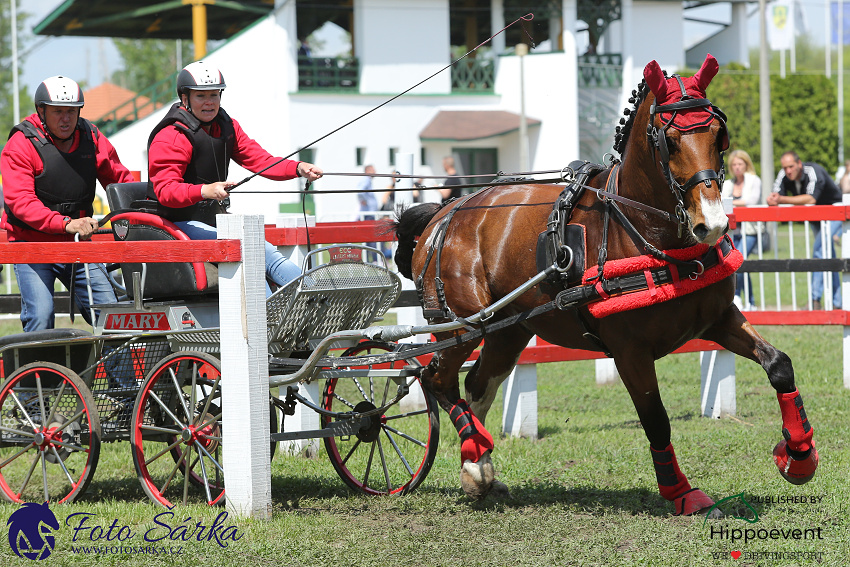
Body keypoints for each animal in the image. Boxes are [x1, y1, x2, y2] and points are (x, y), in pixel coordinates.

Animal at [390, 54, 816, 516]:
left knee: (477, 386)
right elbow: (656, 420)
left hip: (508, 331)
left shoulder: (718, 319)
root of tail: (445, 212)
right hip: (462, 327)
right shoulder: (630, 352)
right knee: (438, 380)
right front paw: (682, 494)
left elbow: (779, 364)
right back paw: (474, 461)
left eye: (719, 136)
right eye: (669, 141)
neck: (647, 233)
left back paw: (478, 467)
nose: (713, 223)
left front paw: (799, 456)